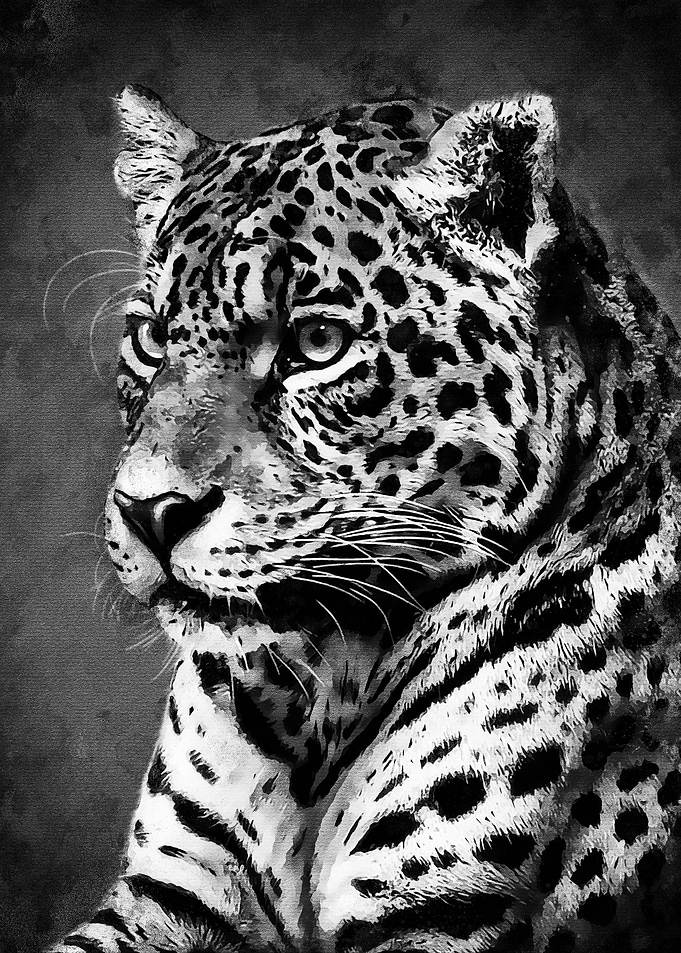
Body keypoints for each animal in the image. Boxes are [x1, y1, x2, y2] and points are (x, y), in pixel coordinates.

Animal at [48, 85, 681, 953]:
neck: (317, 695)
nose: (149, 511)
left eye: (317, 342)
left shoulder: (447, 914)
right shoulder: (169, 893)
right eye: (151, 337)